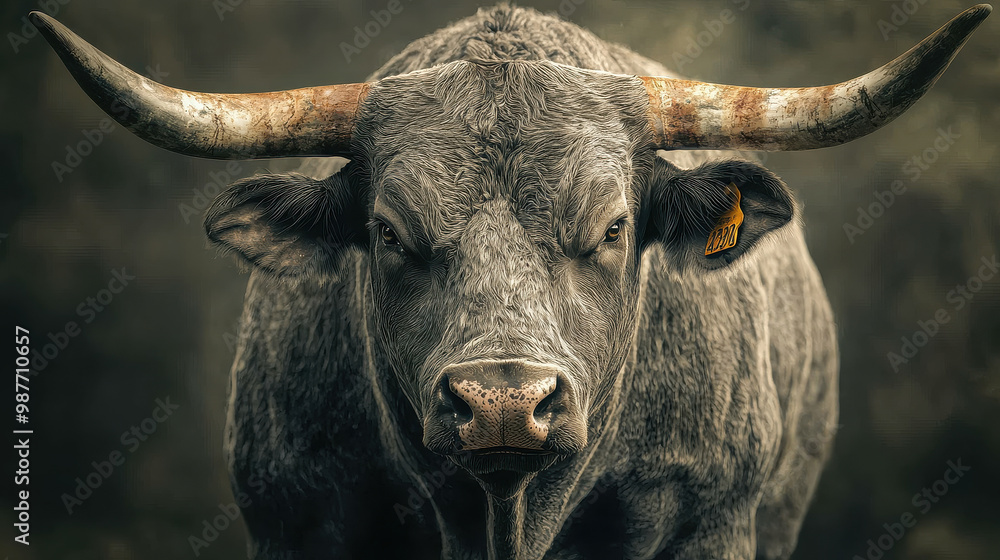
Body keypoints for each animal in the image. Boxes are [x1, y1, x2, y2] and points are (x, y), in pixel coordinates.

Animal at [33, 4, 991, 559]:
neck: (506, 521)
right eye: (388, 233)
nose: (502, 402)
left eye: (613, 228)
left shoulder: (711, 519)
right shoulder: (295, 517)